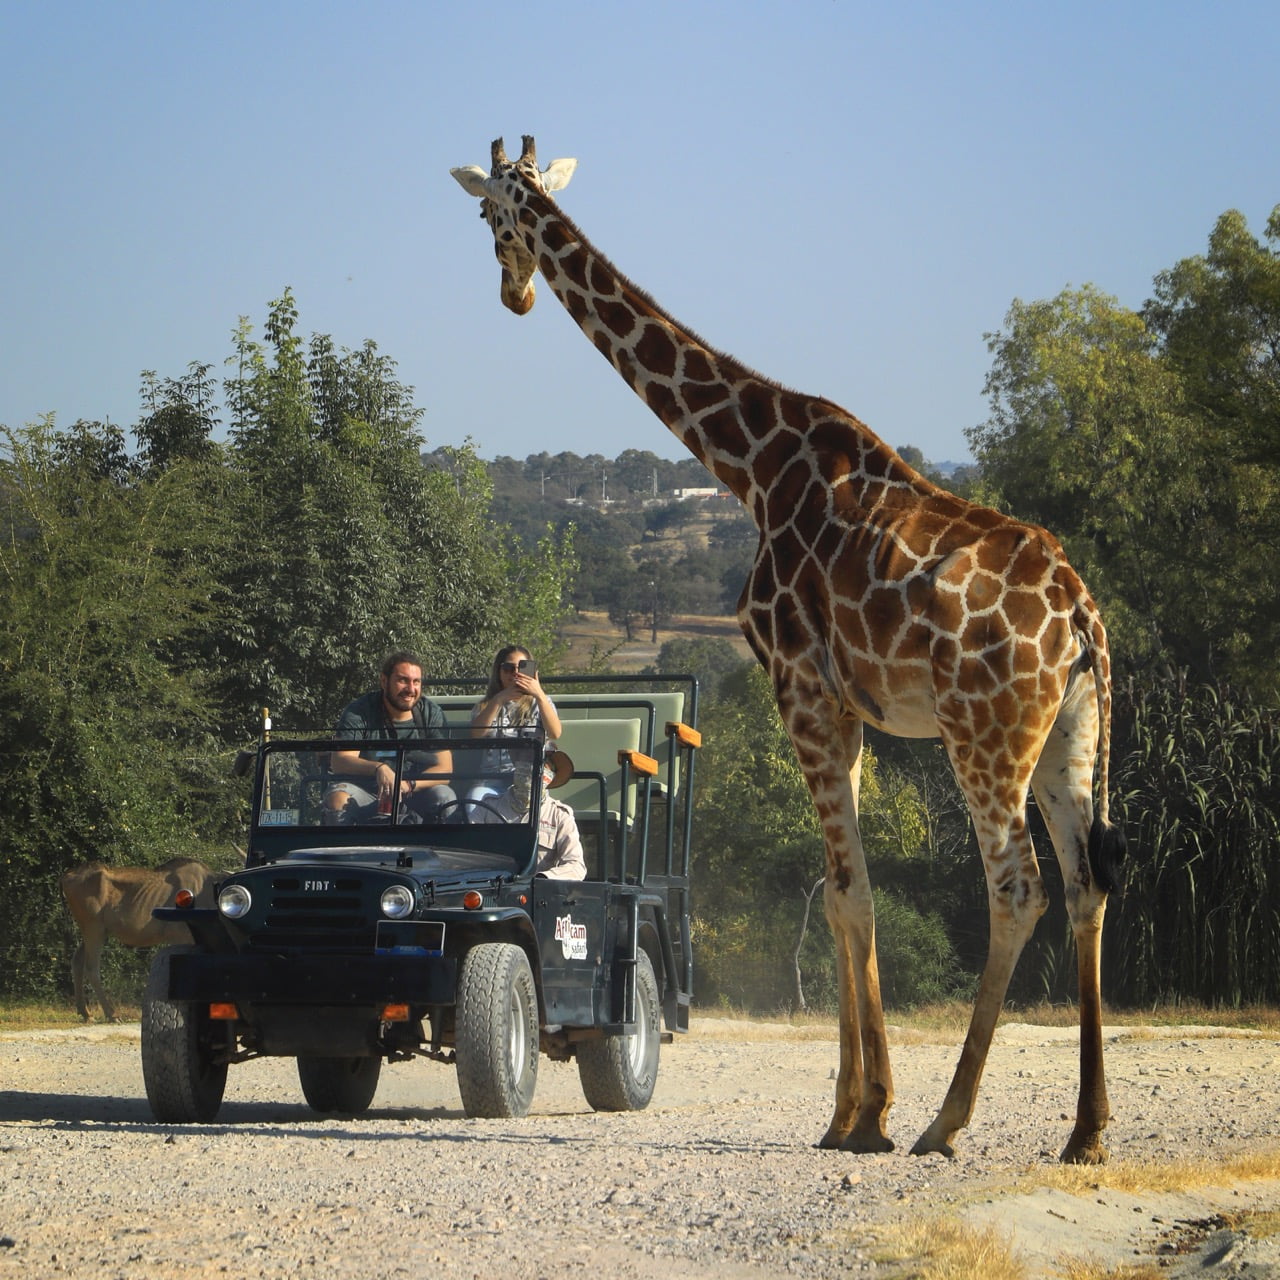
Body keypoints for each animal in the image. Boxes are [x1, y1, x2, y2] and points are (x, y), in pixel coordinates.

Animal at [448, 137, 1121, 1162]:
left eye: (491, 218)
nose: (511, 295)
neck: (751, 465)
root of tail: (1081, 617)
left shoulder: (799, 685)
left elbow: (846, 892)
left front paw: (867, 1116)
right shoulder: (843, 705)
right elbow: (847, 893)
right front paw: (850, 1111)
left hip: (984, 733)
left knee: (1017, 888)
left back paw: (946, 1121)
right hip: (1071, 736)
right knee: (1086, 885)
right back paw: (1086, 1130)